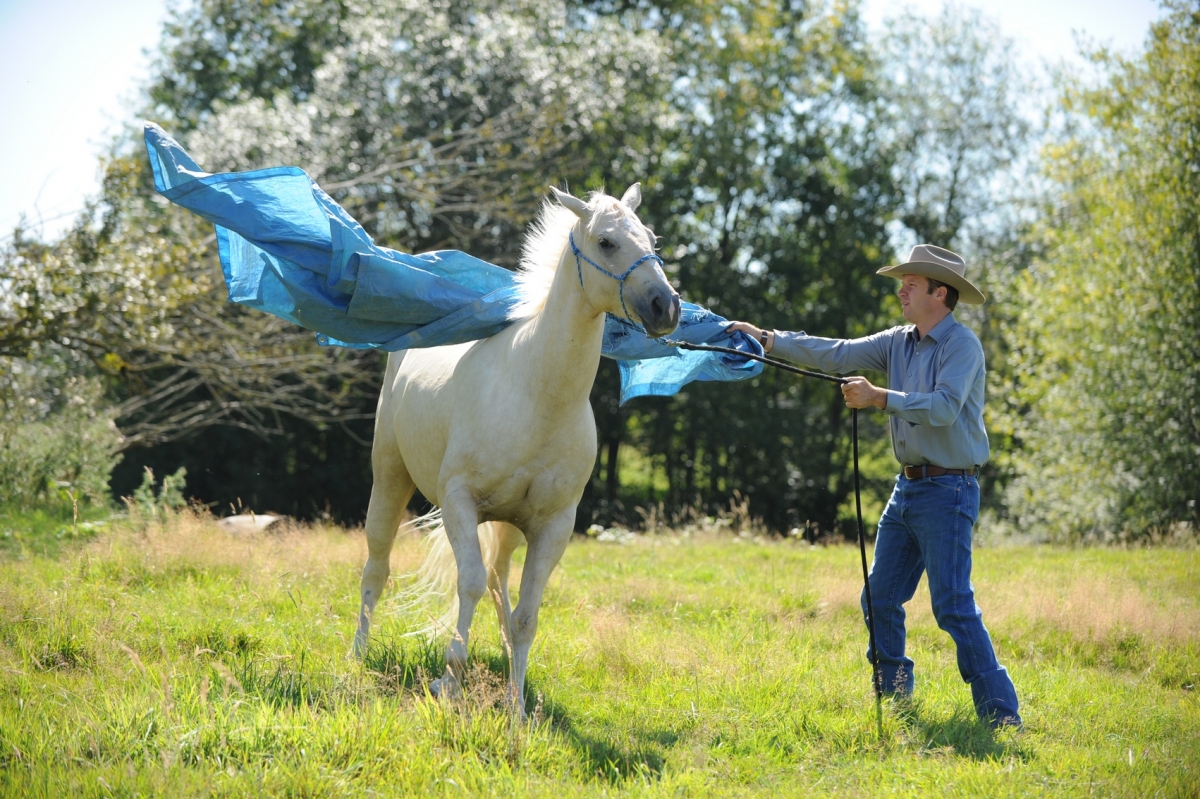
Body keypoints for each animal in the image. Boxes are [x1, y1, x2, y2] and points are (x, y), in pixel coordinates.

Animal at [352, 183, 681, 712]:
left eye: (651, 239)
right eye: (607, 241)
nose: (665, 307)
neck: (537, 393)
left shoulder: (553, 527)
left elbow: (527, 613)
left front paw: (517, 706)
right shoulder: (458, 502)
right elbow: (466, 583)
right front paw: (450, 681)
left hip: (506, 526)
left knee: (496, 578)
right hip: (390, 479)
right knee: (377, 569)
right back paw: (358, 654)